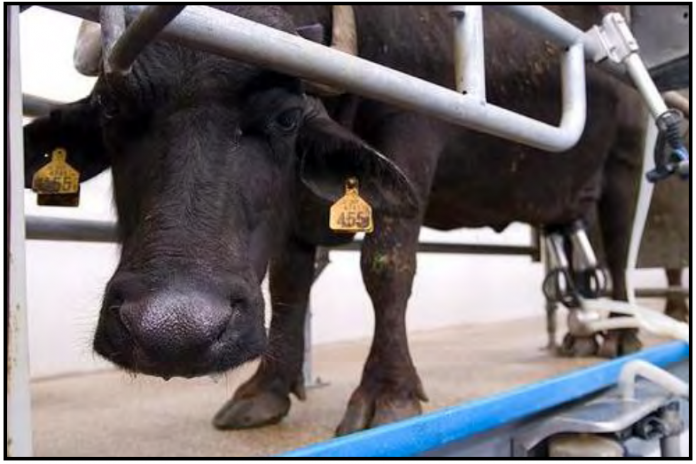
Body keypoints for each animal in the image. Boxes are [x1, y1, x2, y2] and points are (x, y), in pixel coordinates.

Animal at [23, 5, 647, 436]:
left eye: (285, 117)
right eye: (111, 108)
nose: (173, 331)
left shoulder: (410, 129)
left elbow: (387, 266)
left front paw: (389, 391)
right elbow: (290, 283)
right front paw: (267, 388)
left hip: (624, 168)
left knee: (618, 256)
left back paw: (626, 337)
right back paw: (584, 337)